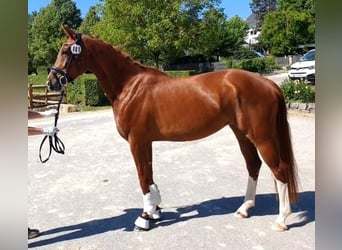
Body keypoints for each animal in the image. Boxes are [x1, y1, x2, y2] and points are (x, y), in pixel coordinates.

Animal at [47, 24, 296, 230]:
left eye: (66, 51)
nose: (51, 82)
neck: (130, 86)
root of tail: (268, 82)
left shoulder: (137, 141)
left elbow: (143, 177)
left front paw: (145, 217)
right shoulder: (145, 141)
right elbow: (149, 174)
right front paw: (155, 211)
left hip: (262, 136)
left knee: (279, 169)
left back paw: (281, 219)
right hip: (242, 134)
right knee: (253, 165)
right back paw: (244, 208)